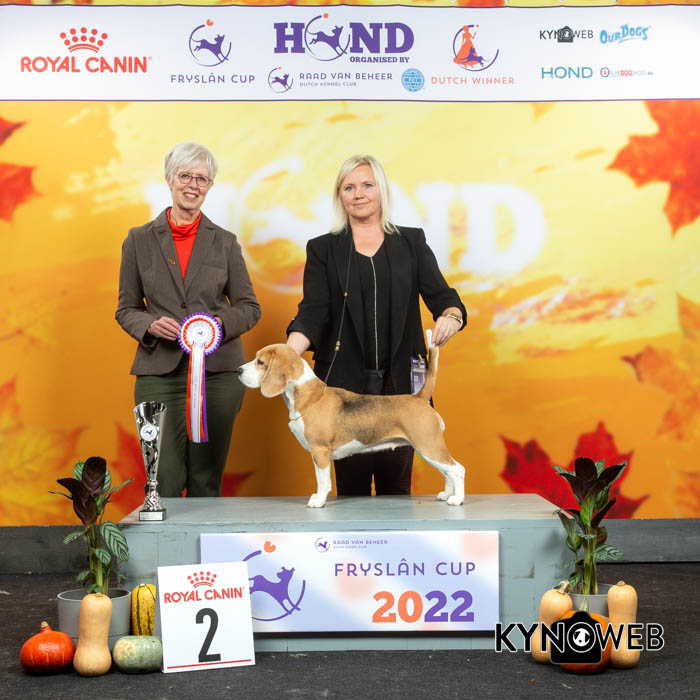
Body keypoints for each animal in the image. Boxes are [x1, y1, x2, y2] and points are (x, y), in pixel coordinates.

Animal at [237, 331, 465, 508]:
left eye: (260, 362)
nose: (238, 370)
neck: (309, 396)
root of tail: (418, 397)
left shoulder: (320, 452)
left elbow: (323, 481)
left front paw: (318, 501)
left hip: (428, 446)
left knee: (457, 469)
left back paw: (457, 499)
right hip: (429, 449)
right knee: (448, 473)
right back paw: (447, 494)